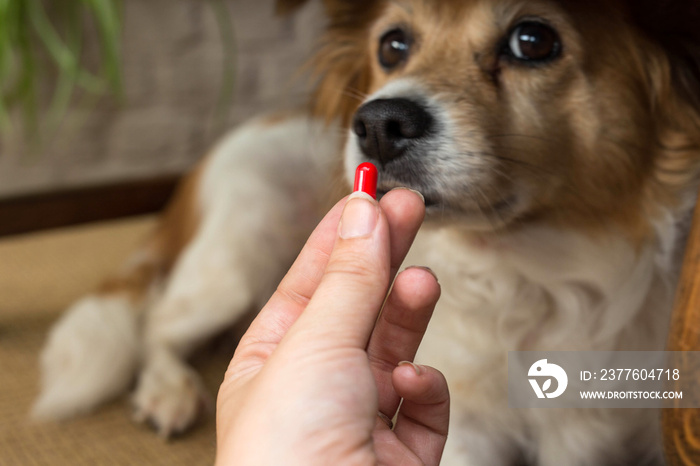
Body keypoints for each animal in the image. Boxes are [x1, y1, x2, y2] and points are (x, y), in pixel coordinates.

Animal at [31, 0, 700, 464]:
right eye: (393, 44)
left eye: (533, 40)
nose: (378, 122)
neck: (531, 272)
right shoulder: (468, 431)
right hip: (239, 256)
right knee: (157, 323)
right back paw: (168, 389)